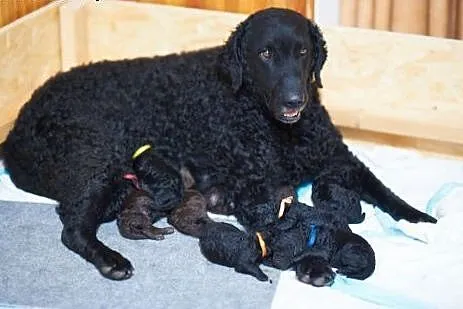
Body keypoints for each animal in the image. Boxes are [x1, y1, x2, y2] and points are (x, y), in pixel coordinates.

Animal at [1, 8, 436, 280]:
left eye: (302, 51)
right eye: (265, 54)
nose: (294, 101)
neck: (278, 129)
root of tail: (16, 128)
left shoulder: (339, 159)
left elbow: (384, 191)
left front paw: (422, 220)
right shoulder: (256, 189)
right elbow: (286, 224)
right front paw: (312, 264)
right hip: (94, 157)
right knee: (72, 227)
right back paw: (112, 261)